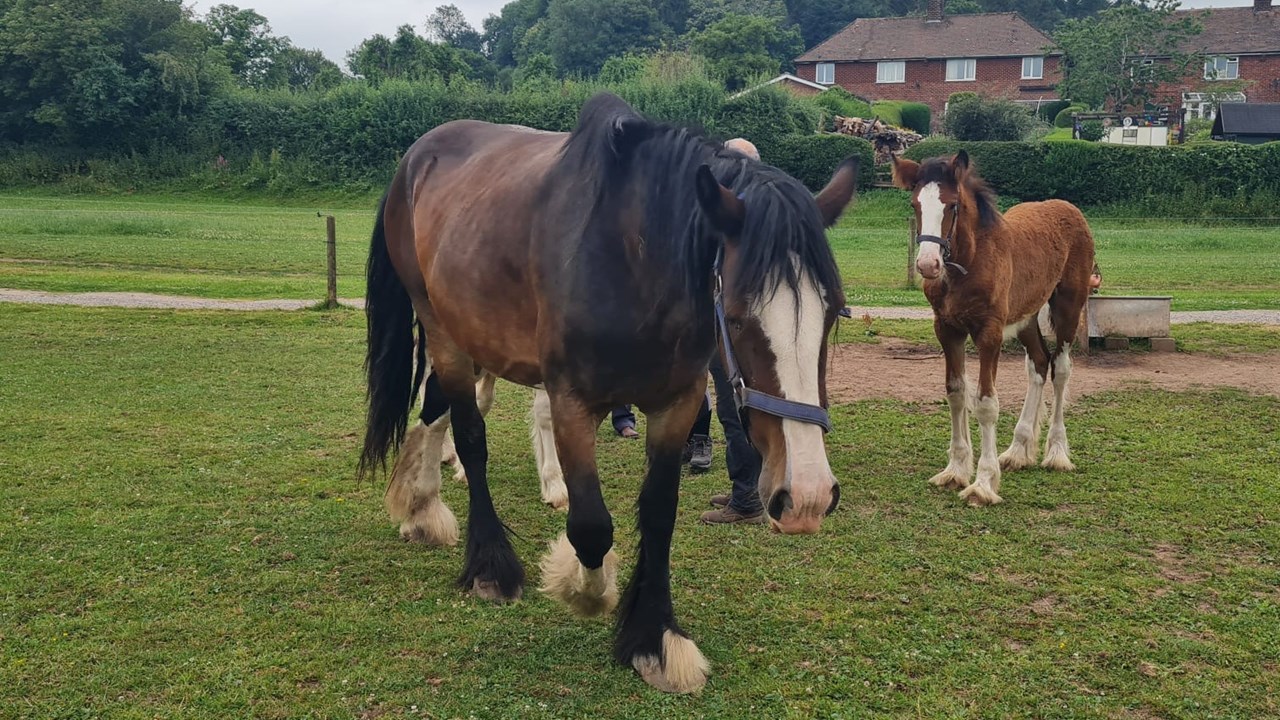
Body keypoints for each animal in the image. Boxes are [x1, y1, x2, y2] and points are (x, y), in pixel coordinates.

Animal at [357, 92, 858, 693]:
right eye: (736, 317)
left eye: (833, 312)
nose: (806, 496)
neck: (629, 259)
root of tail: (416, 157)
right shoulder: (572, 402)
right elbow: (591, 527)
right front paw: (582, 587)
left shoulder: (677, 405)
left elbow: (660, 515)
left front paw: (655, 641)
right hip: (443, 331)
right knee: (469, 435)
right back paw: (488, 566)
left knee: (433, 408)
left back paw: (421, 508)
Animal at [891, 151, 1095, 507]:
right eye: (915, 204)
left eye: (952, 205)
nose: (927, 265)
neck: (969, 262)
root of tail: (1069, 209)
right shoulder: (947, 330)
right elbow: (957, 394)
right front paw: (955, 470)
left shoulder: (990, 333)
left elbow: (986, 404)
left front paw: (983, 484)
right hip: (1026, 316)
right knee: (1039, 364)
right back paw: (1017, 451)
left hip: (1068, 307)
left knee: (1061, 369)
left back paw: (1056, 452)